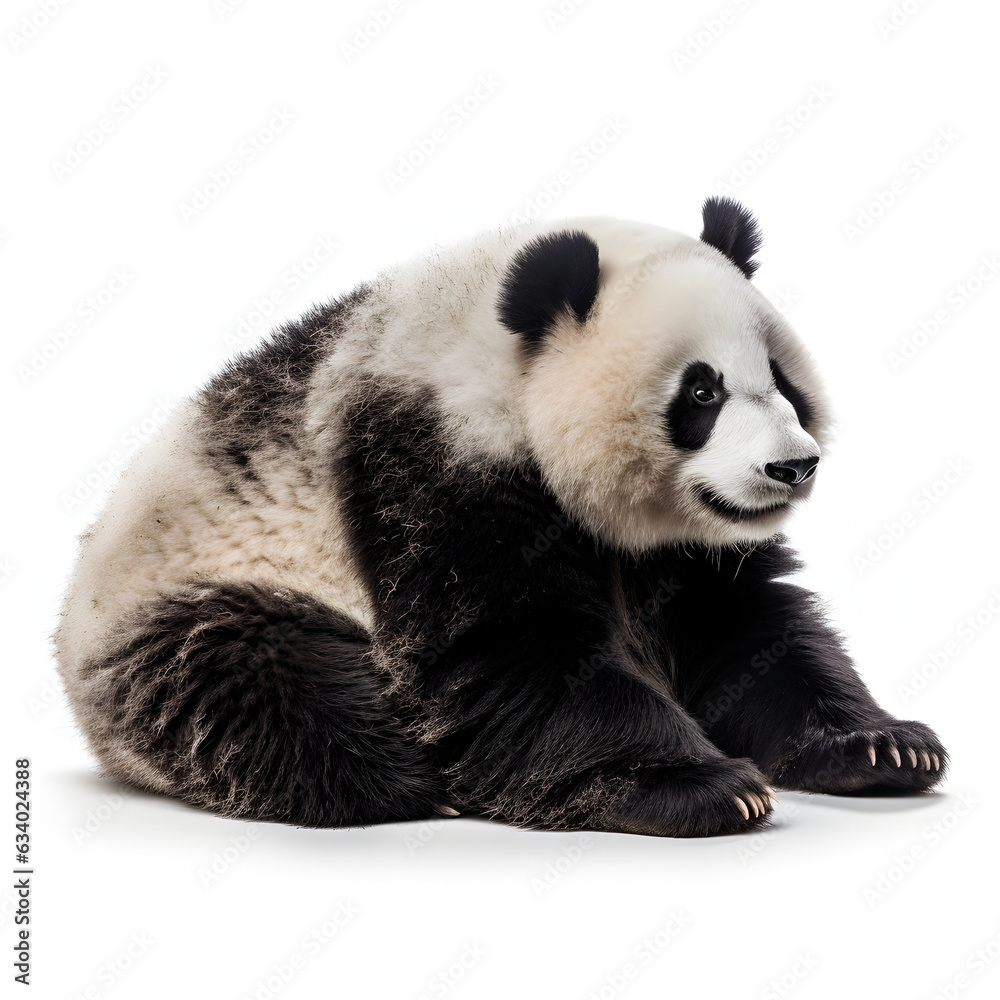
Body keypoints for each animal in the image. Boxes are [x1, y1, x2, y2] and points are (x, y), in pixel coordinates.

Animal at [55, 197, 948, 838]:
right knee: (274, 685)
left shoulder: (684, 545)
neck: (498, 358)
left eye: (781, 380)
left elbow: (742, 631)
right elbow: (509, 646)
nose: (793, 466)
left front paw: (884, 744)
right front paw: (707, 787)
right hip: (180, 603)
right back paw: (418, 780)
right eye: (701, 391)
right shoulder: (423, 458)